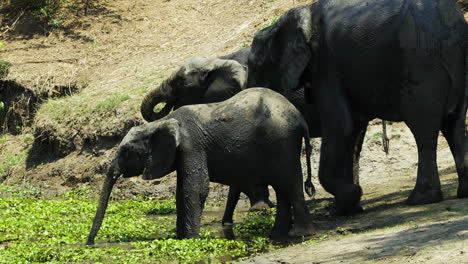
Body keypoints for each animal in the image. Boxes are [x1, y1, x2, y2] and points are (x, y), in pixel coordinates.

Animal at [87, 88, 314, 243]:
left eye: (126, 150)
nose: (90, 244)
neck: (161, 122)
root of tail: (301, 117)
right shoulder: (182, 152)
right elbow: (182, 191)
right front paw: (180, 239)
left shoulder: (191, 145)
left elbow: (196, 188)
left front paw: (190, 240)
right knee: (282, 186)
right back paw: (277, 235)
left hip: (283, 141)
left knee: (290, 182)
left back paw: (299, 234)